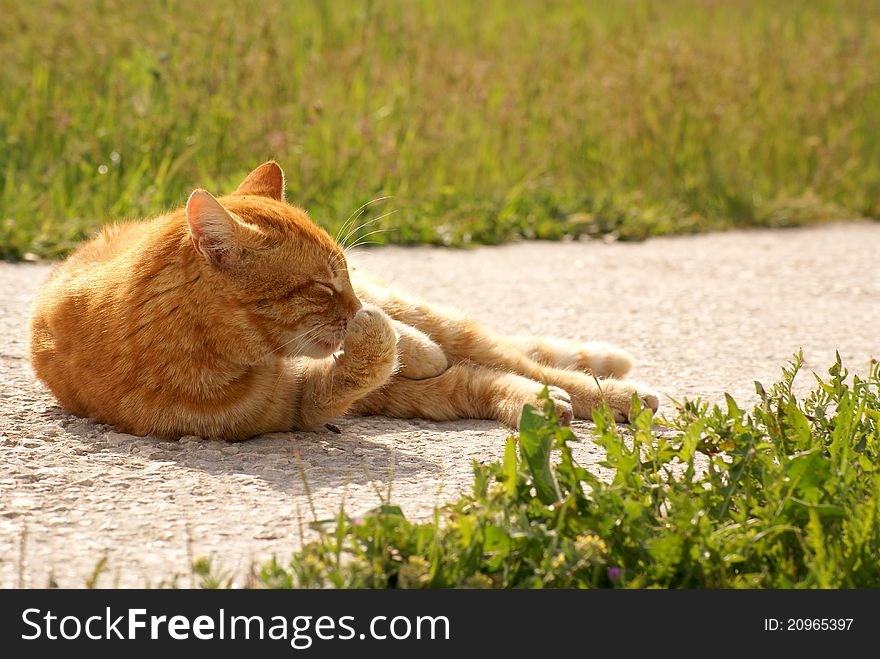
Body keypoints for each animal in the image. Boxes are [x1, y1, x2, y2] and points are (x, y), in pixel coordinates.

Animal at [29, 162, 660, 440]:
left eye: (347, 275)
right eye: (324, 287)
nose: (355, 303)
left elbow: (397, 339)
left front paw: (404, 342)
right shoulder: (302, 406)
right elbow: (368, 358)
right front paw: (379, 340)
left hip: (434, 323)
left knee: (510, 357)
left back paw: (615, 393)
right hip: (412, 399)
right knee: (487, 380)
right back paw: (546, 405)